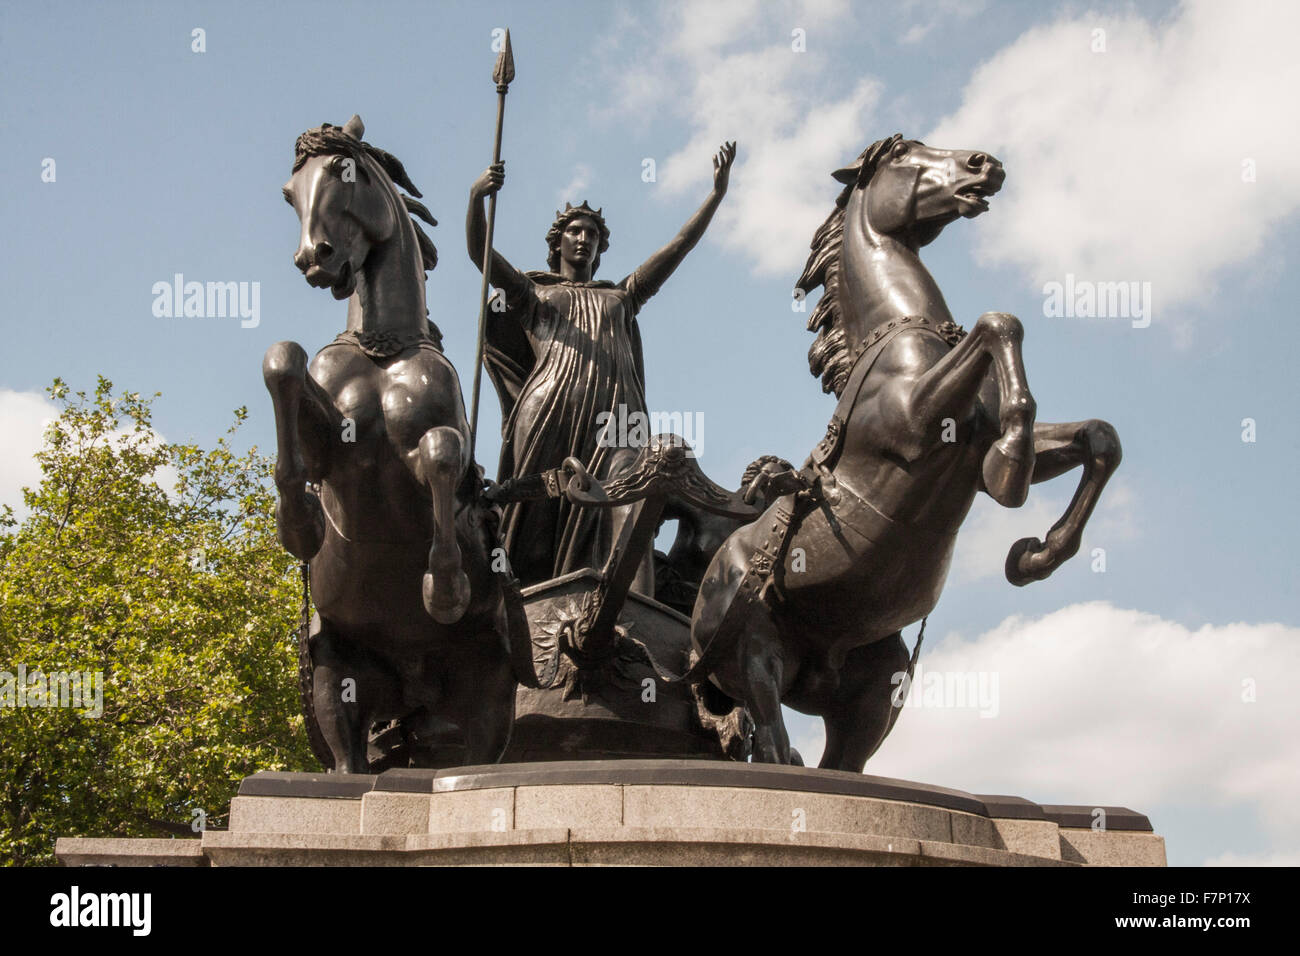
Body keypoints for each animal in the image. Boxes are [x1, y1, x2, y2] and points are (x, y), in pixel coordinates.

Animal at [263, 115, 533, 775]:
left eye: (346, 173)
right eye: (288, 193)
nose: (314, 259)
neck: (384, 349)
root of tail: (414, 690)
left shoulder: (434, 441)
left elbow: (440, 457)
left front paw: (445, 588)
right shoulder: (334, 444)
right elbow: (282, 360)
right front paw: (300, 522)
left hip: (488, 694)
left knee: (475, 756)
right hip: (337, 678)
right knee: (347, 761)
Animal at [686, 134, 1123, 775]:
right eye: (903, 155)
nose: (985, 164)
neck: (902, 332)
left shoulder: (971, 451)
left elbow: (1099, 437)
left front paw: (1035, 555)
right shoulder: (918, 424)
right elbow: (1000, 322)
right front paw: (1013, 467)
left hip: (875, 693)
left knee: (838, 763)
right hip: (755, 658)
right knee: (771, 744)